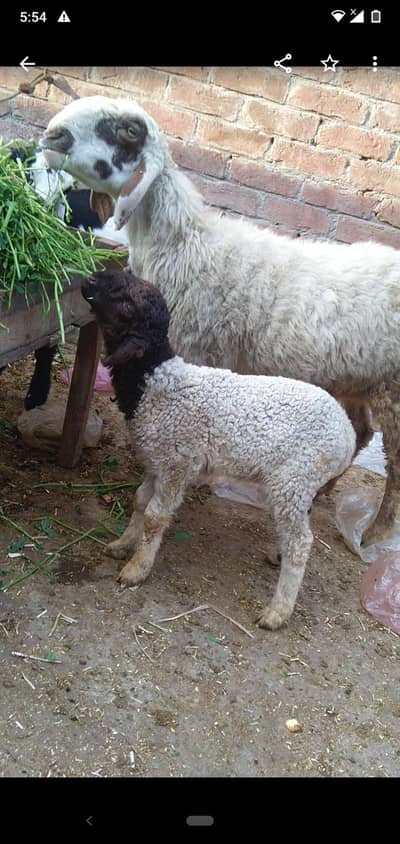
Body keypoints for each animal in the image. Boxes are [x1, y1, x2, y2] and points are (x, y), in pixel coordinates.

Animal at [40, 95, 400, 546]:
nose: (52, 135)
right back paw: (324, 491)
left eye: (127, 131)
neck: (187, 245)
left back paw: (375, 531)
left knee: (395, 465)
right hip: (357, 379)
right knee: (361, 432)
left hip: (393, 390)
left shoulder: (195, 349)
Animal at [81, 269, 356, 629]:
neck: (154, 380)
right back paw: (277, 555)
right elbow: (140, 501)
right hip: (299, 485)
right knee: (297, 527)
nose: (88, 280)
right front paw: (123, 544)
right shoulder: (157, 460)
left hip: (295, 478)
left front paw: (136, 569)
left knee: (301, 542)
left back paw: (277, 612)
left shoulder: (177, 463)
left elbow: (155, 517)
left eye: (126, 300)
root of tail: (348, 435)